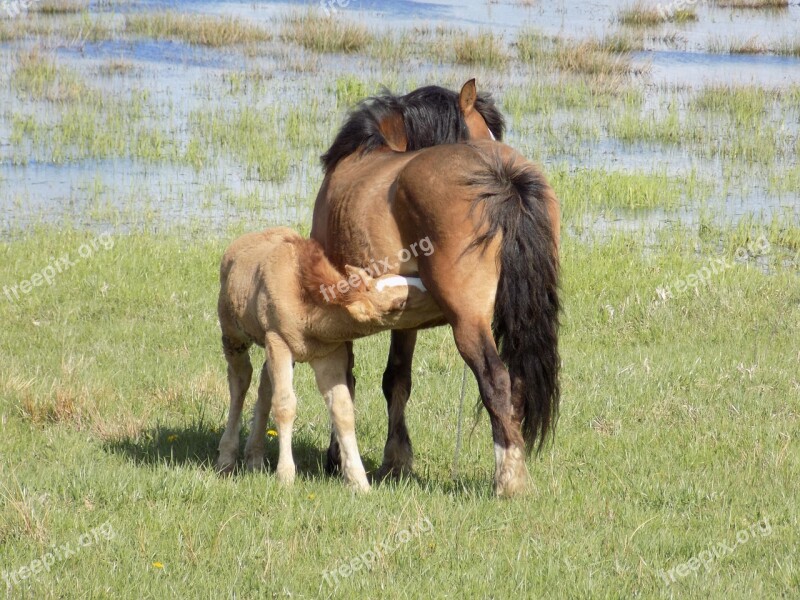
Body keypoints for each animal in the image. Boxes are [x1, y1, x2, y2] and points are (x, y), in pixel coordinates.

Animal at [310, 79, 560, 494]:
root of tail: (502, 176)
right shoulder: (403, 319)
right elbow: (396, 379)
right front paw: (396, 461)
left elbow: (343, 379)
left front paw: (338, 459)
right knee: (518, 380)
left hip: (468, 320)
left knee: (496, 379)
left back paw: (508, 479)